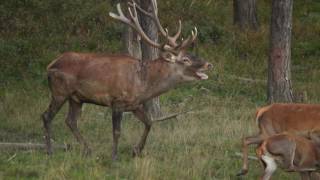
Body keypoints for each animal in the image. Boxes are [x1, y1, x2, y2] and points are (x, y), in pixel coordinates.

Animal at [42, 0, 212, 160]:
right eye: (185, 60)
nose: (208, 64)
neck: (143, 85)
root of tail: (50, 65)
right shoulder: (117, 101)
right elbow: (117, 131)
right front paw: (114, 157)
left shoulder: (134, 104)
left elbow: (149, 122)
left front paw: (136, 150)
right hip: (59, 91)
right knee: (47, 116)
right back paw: (50, 151)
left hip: (76, 98)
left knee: (70, 121)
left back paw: (88, 150)